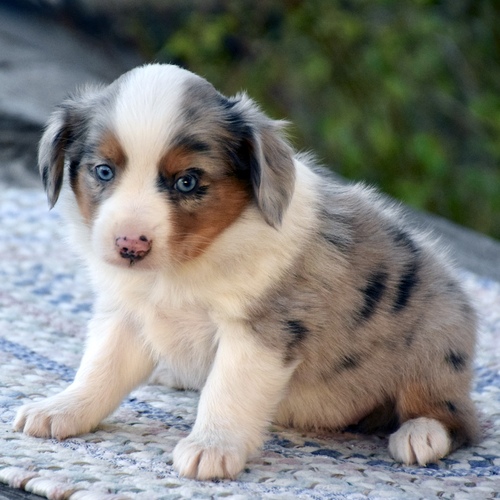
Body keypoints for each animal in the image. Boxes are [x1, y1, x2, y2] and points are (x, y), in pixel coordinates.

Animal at [13, 63, 478, 480]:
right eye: (103, 171)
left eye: (187, 182)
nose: (130, 246)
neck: (181, 269)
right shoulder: (126, 314)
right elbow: (100, 369)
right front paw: (62, 408)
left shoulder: (258, 331)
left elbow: (228, 391)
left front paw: (211, 447)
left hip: (434, 341)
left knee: (459, 419)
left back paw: (421, 435)